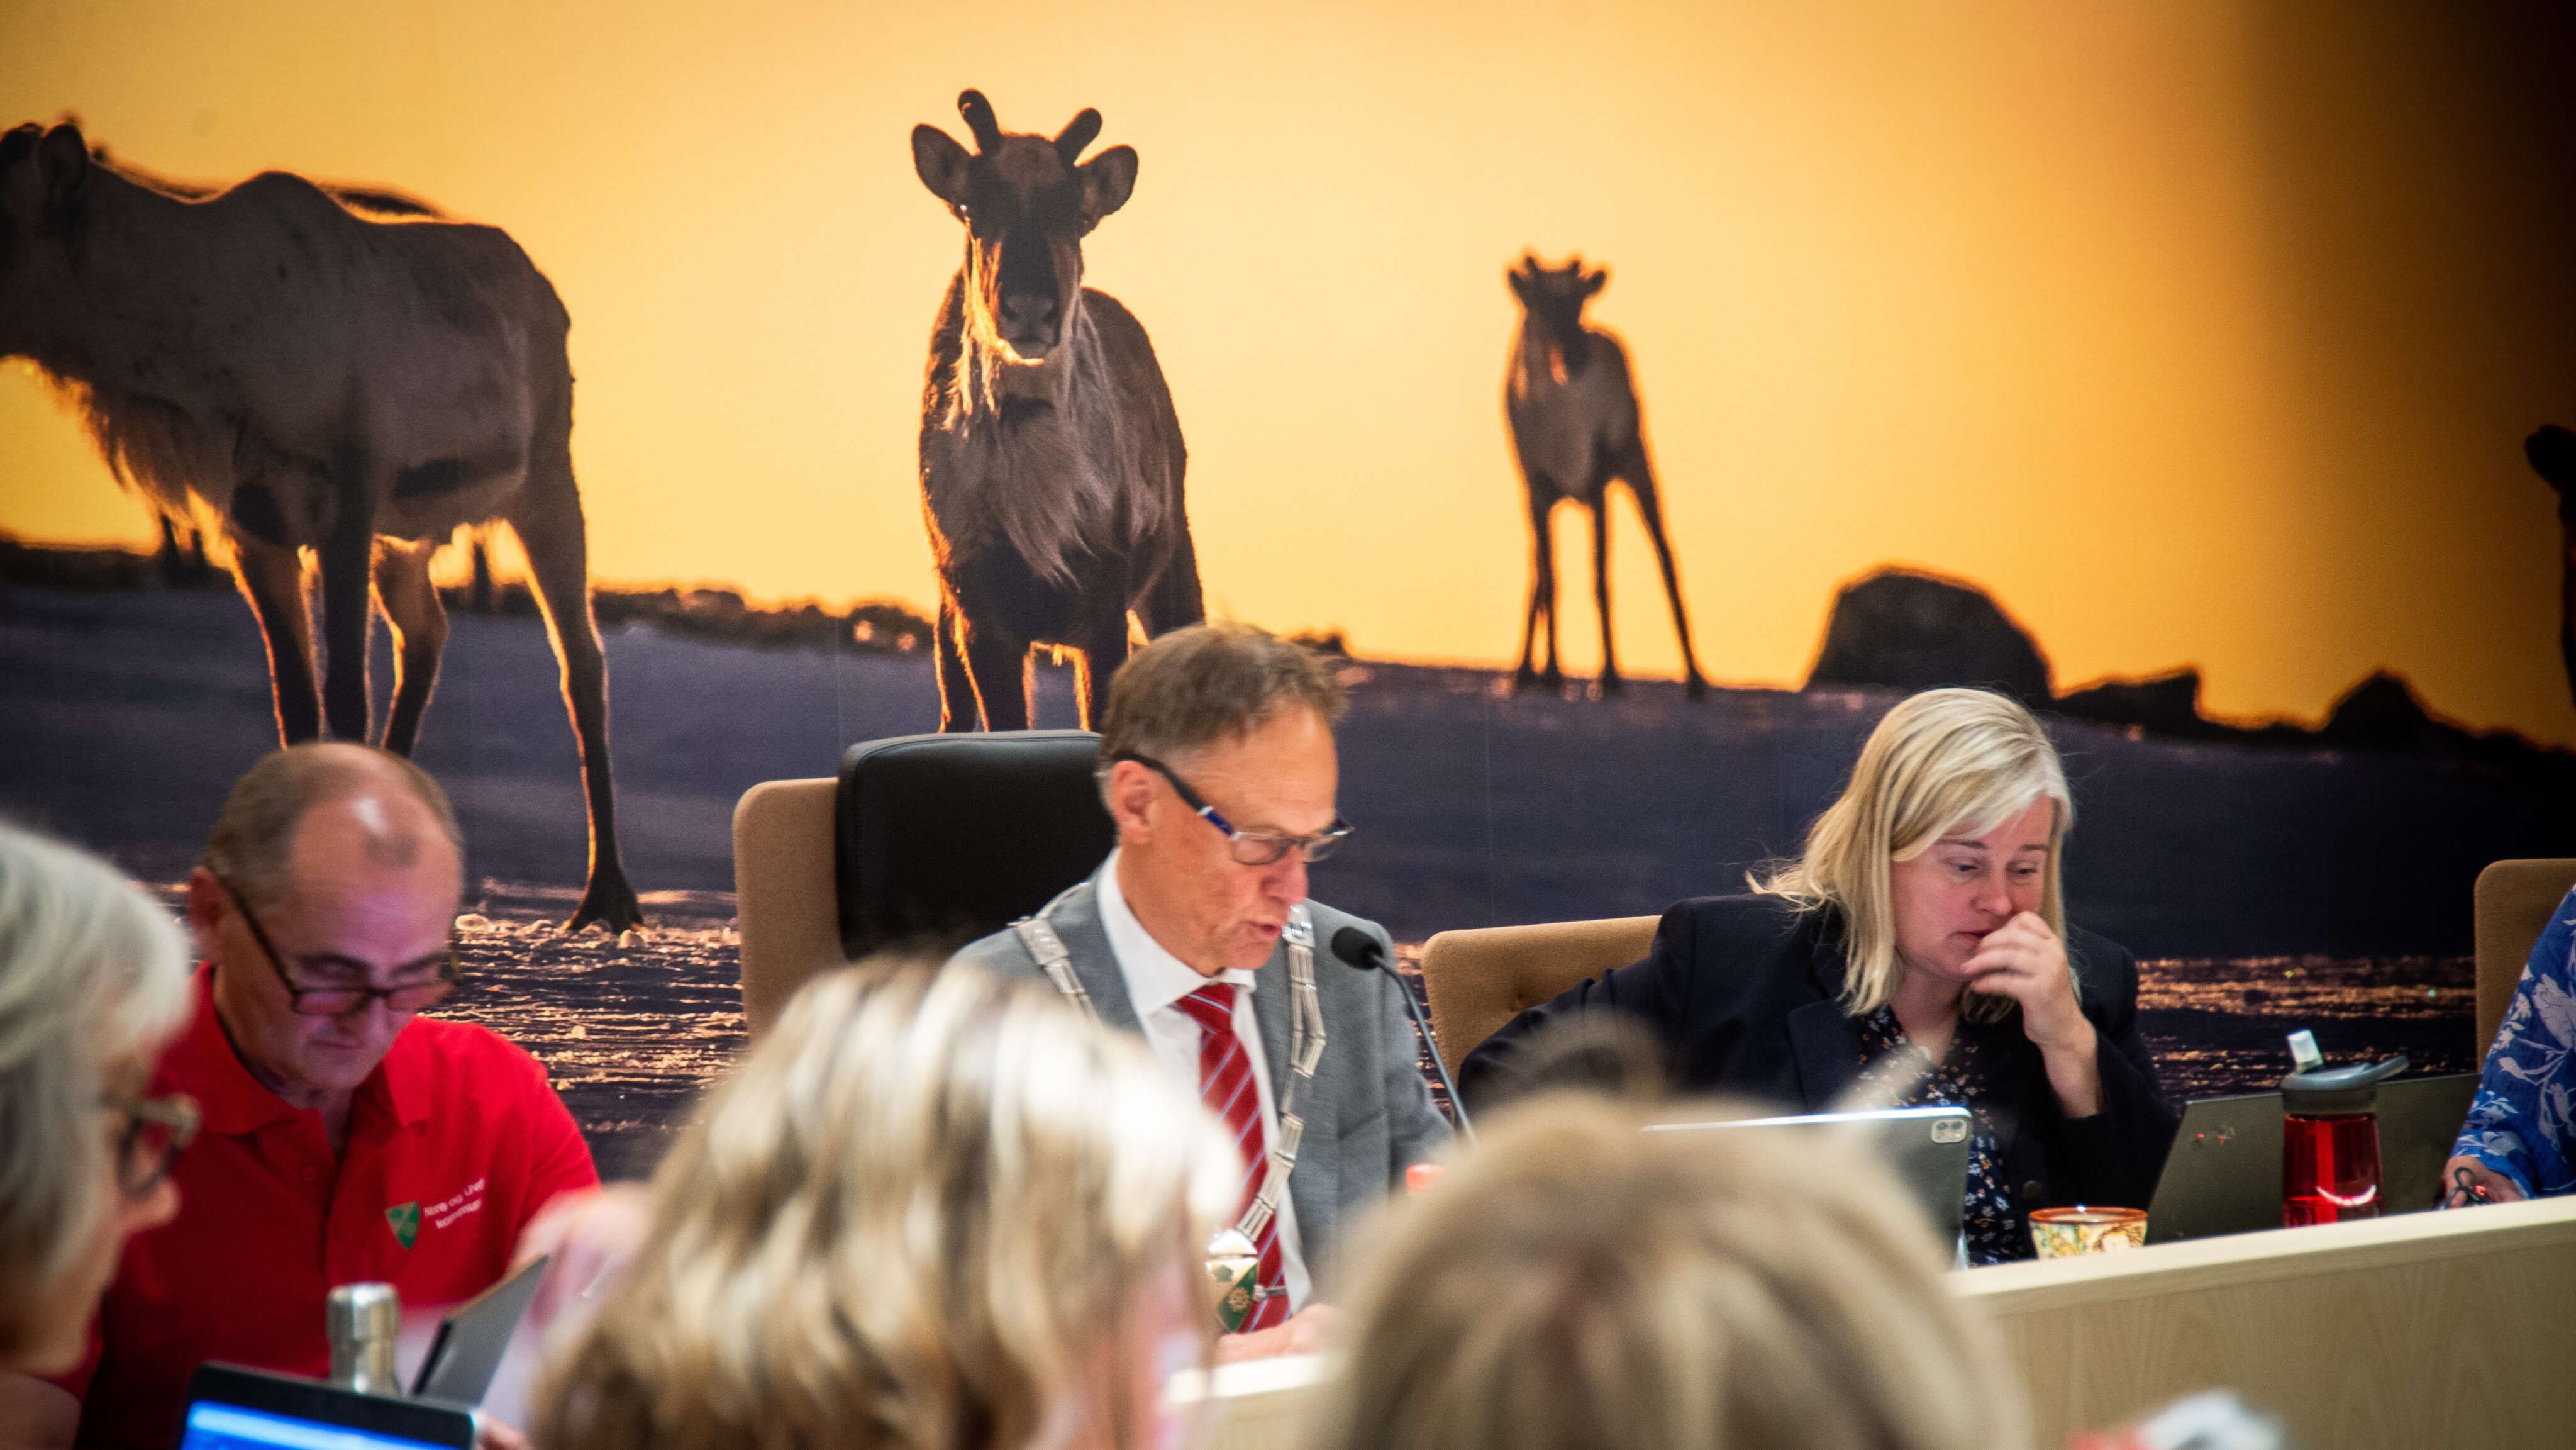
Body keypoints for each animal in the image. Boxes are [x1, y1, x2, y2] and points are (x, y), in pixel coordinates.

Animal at [0, 121, 642, 933]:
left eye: (2, 217)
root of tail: (548, 292)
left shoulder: (351, 496)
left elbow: (344, 694)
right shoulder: (255, 526)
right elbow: (295, 702)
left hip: (545, 480)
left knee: (581, 661)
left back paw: (607, 897)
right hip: (409, 537)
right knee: (428, 632)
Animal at [911, 89, 1200, 732]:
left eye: (1077, 218)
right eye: (970, 208)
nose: (1028, 309)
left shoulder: (1103, 610)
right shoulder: (980, 616)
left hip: (1174, 570)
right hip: (945, 621)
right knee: (951, 716)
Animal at [1505, 253, 1707, 700]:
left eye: (1580, 302)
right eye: (1539, 304)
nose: (1576, 357)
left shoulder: (1596, 481)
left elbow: (1600, 580)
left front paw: (1610, 677)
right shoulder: (1536, 488)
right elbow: (1549, 582)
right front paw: (1550, 674)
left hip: (1636, 463)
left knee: (1666, 558)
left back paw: (1697, 680)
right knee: (1535, 572)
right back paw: (1522, 672)